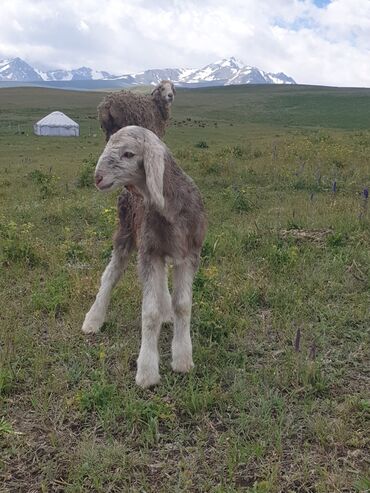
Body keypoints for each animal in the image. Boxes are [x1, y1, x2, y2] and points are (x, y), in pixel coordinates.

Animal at [82, 126, 207, 388]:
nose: (97, 178)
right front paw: (147, 371)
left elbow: (183, 306)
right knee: (110, 276)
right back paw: (93, 319)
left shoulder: (189, 253)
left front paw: (183, 360)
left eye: (129, 154)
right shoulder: (149, 252)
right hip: (126, 233)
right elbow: (149, 314)